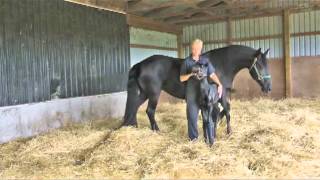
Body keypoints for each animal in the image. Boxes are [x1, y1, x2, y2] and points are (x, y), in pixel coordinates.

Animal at [121, 44, 272, 133]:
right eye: (259, 65)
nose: (268, 87)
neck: (221, 65)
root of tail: (140, 64)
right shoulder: (220, 95)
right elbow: (226, 112)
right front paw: (228, 131)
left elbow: (223, 112)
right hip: (153, 94)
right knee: (150, 111)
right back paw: (157, 130)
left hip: (144, 93)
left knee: (134, 107)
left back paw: (133, 126)